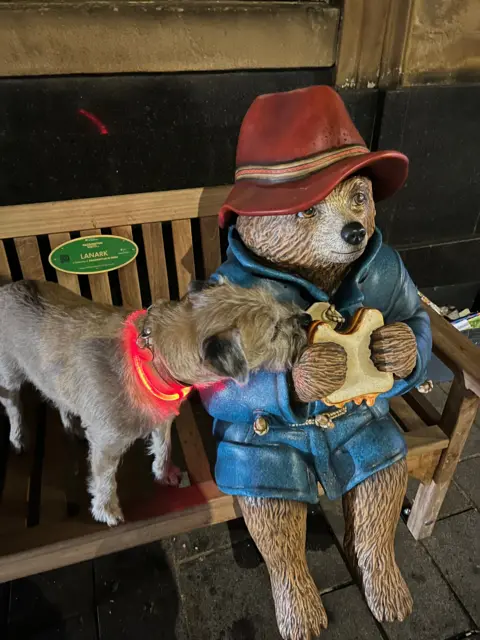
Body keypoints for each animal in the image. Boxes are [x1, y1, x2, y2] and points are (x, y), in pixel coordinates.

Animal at [0, 278, 308, 524]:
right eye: (274, 332)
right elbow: (104, 479)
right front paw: (107, 510)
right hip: (9, 377)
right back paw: (18, 438)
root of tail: (7, 287)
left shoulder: (162, 421)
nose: (305, 318)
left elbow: (163, 447)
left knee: (59, 398)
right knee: (14, 407)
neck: (156, 354)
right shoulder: (106, 444)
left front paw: (163, 473)